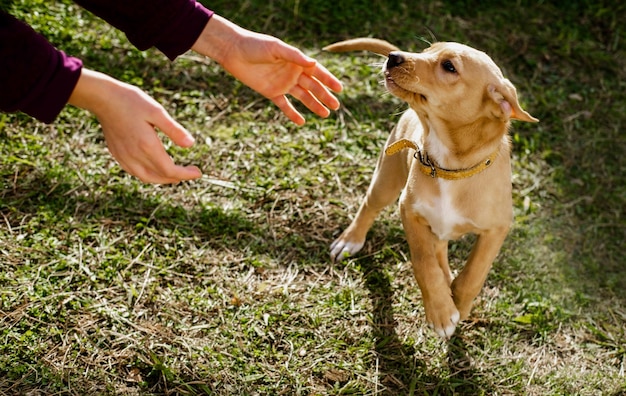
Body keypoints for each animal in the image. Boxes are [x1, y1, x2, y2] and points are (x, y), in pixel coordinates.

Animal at [324, 38, 532, 338]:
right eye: (425, 51)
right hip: (386, 179)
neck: (450, 167)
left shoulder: (497, 229)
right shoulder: (410, 212)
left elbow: (474, 273)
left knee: (441, 247)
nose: (393, 57)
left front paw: (459, 303)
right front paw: (441, 313)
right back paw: (349, 240)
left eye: (449, 66)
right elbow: (424, 263)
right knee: (369, 206)